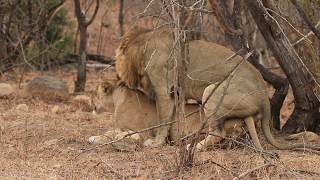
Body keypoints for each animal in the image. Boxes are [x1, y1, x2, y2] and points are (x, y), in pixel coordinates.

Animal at [116, 27, 318, 150]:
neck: (144, 43)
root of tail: (265, 99)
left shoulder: (164, 91)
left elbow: (163, 120)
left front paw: (156, 142)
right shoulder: (177, 93)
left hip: (212, 91)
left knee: (218, 132)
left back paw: (193, 147)